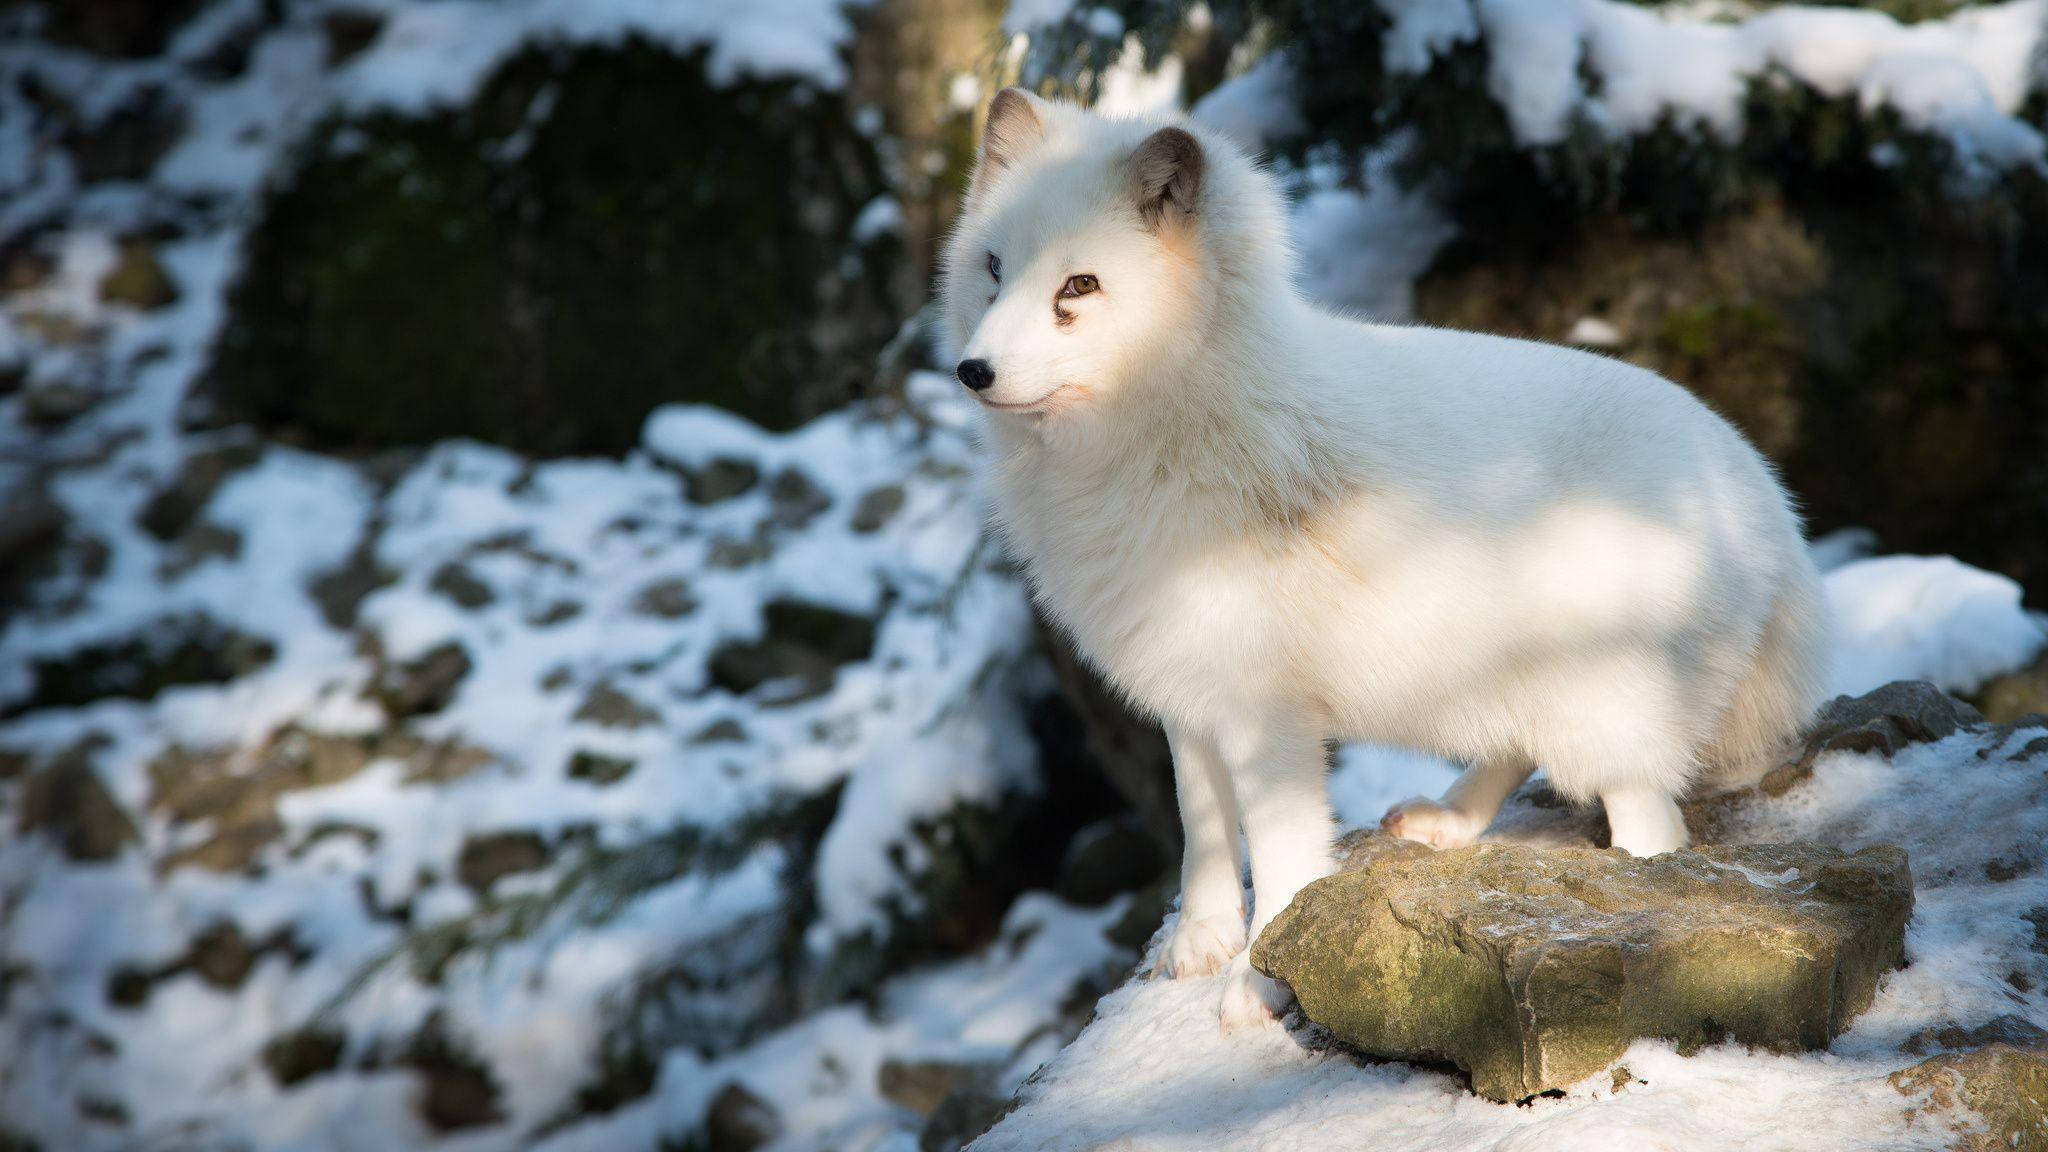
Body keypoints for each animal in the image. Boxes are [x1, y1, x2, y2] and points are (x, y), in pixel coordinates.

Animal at [938, 88, 1831, 1029]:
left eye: (1078, 286)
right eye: (993, 268)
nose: (972, 370)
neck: (1174, 429)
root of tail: (1762, 495)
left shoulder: (1269, 718)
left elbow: (1282, 857)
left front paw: (1258, 982)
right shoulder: (1187, 692)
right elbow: (1202, 828)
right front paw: (1200, 945)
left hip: (1610, 711)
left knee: (1653, 827)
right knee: (1515, 751)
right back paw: (1447, 823)